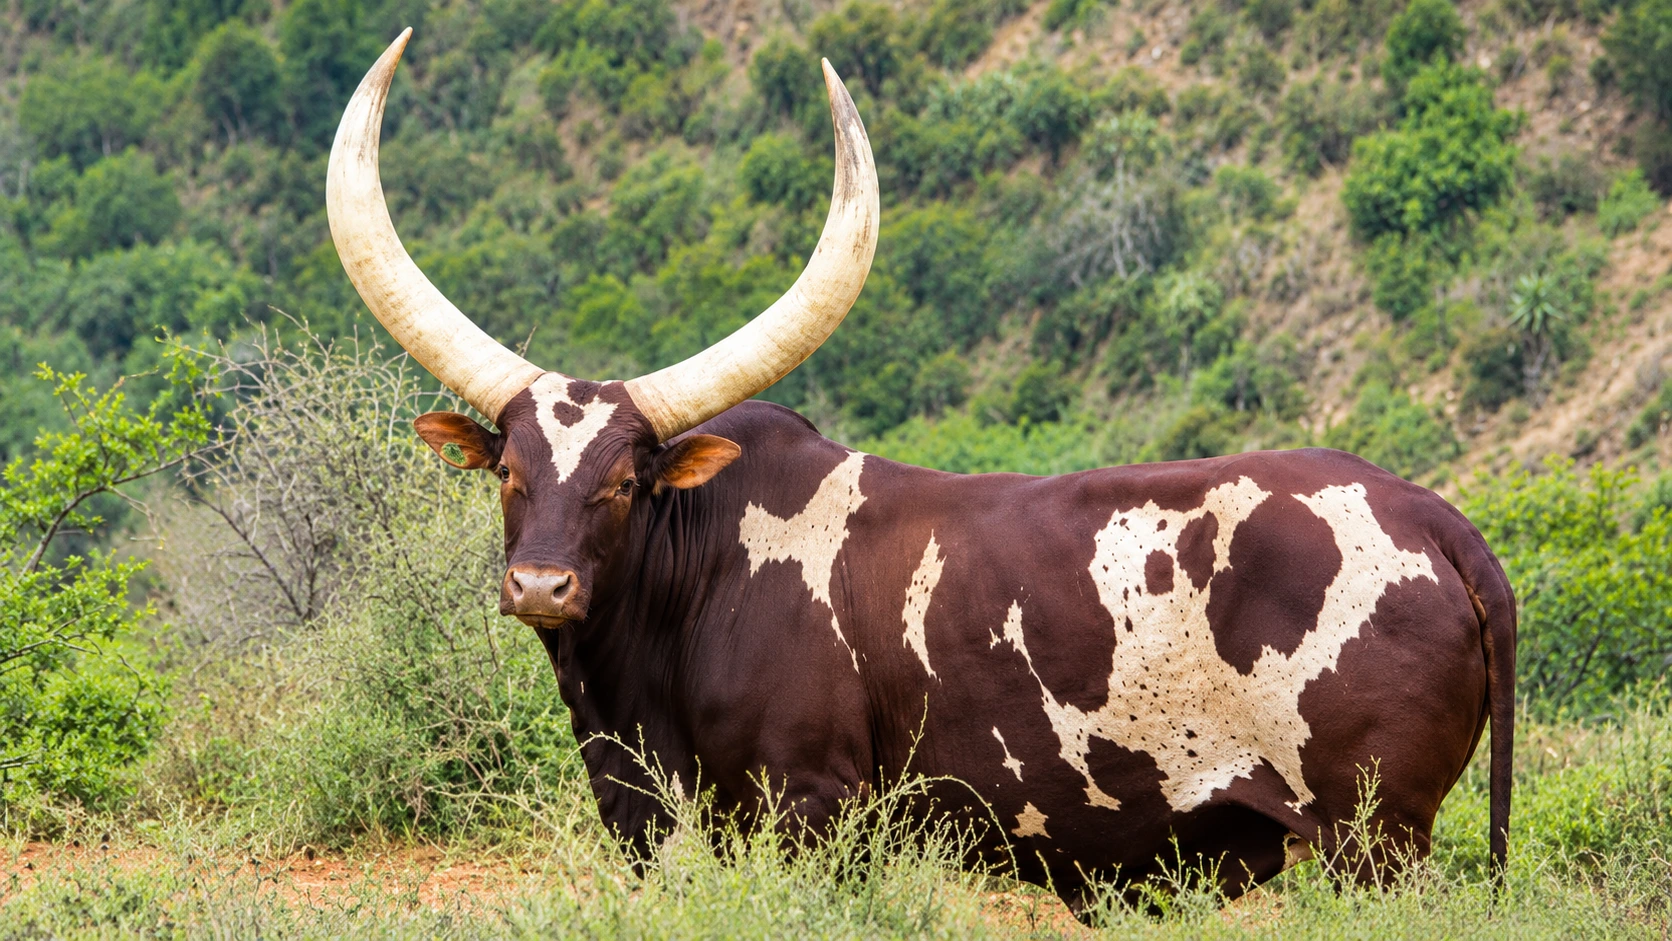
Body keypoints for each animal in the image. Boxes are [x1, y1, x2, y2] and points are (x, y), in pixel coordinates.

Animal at [326, 30, 1515, 910]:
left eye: (624, 481)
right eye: (509, 471)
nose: (542, 585)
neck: (697, 584)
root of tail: (1437, 524)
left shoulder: (812, 809)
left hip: (1375, 838)